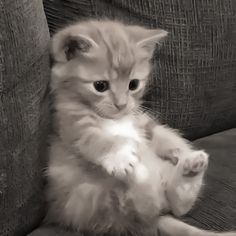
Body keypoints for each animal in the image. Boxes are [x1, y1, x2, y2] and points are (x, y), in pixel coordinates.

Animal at [46, 20, 236, 236]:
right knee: (145, 202)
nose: (121, 104)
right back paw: (138, 171)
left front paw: (181, 149)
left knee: (177, 205)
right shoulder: (68, 122)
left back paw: (191, 166)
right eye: (100, 86)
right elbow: (93, 139)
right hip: (96, 199)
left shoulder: (140, 120)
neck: (115, 118)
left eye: (133, 84)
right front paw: (120, 156)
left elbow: (159, 133)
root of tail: (157, 218)